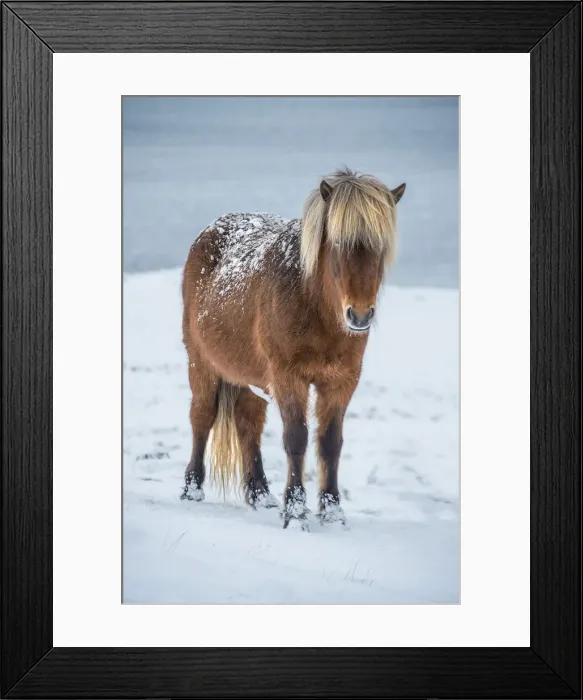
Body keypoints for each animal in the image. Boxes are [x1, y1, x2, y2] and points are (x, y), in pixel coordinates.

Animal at [181, 167, 406, 528]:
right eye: (338, 243)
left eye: (381, 246)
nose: (359, 315)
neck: (312, 303)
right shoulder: (289, 378)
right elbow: (296, 438)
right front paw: (296, 511)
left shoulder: (342, 382)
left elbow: (330, 443)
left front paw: (332, 511)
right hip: (201, 362)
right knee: (202, 417)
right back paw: (192, 489)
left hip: (252, 378)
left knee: (248, 422)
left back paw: (260, 494)